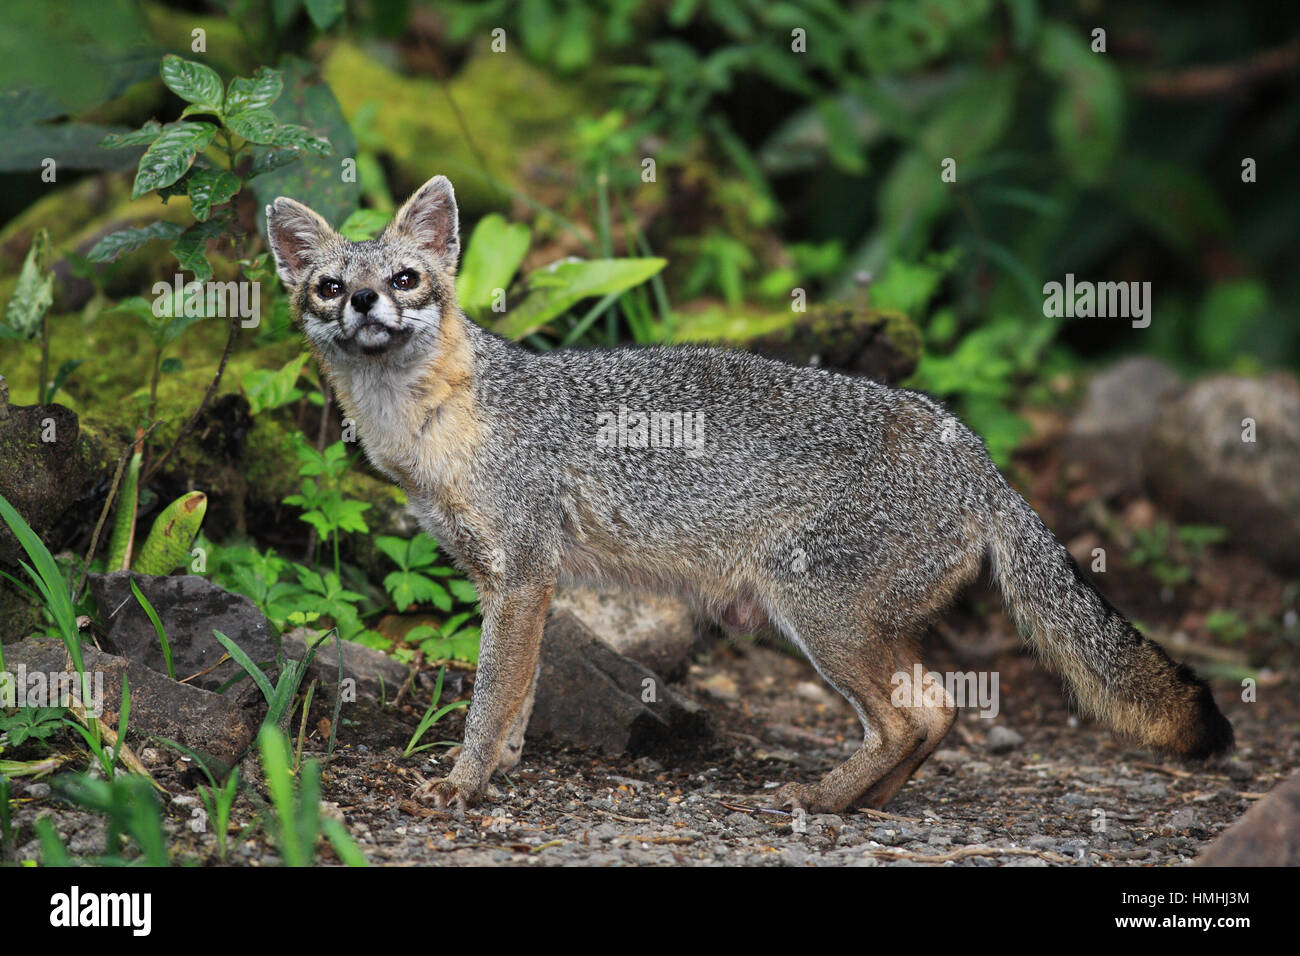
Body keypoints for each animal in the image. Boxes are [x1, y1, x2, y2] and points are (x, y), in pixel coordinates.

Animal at [266, 175, 1237, 811]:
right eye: (329, 286)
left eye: (404, 279)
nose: (362, 303)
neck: (433, 423)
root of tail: (974, 450)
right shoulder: (512, 582)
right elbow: (518, 699)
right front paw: (499, 771)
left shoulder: (524, 575)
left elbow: (490, 696)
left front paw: (463, 783)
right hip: (859, 623)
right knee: (937, 710)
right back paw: (864, 803)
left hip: (813, 611)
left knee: (907, 718)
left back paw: (823, 798)